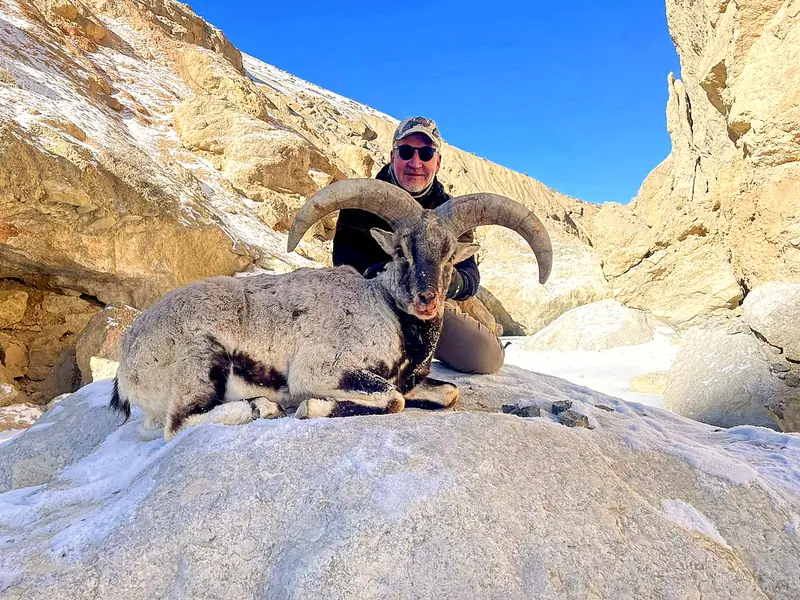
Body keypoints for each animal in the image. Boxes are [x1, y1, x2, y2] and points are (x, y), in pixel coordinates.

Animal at [110, 178, 552, 440]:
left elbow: (448, 393)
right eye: (401, 249)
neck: (385, 313)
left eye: (448, 256)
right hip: (200, 362)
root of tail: (127, 363)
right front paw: (309, 406)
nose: (426, 299)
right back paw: (263, 406)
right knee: (177, 423)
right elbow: (393, 400)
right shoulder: (322, 369)